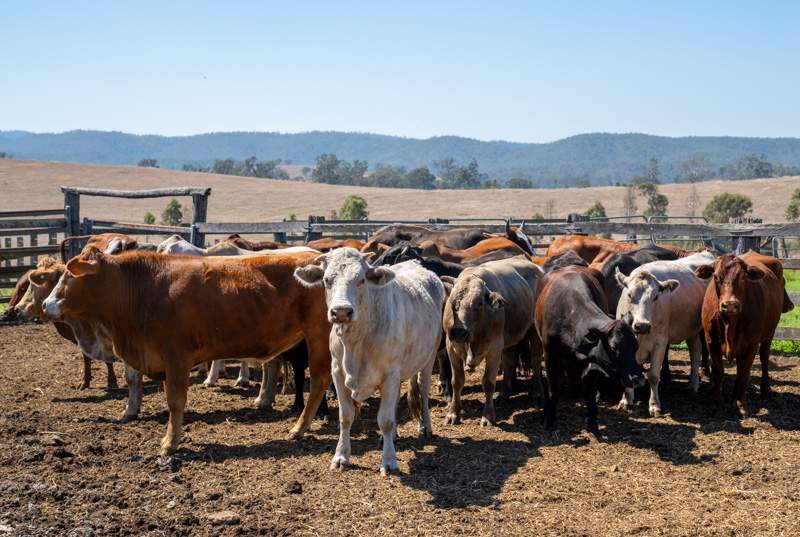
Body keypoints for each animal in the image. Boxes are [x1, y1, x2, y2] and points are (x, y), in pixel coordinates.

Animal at [43, 247, 332, 456]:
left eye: (69, 275)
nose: (46, 304)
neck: (146, 289)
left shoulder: (177, 357)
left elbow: (175, 401)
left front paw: (170, 443)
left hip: (320, 337)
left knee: (319, 381)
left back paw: (299, 428)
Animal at [294, 245, 444, 476]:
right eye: (327, 279)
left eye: (361, 279)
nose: (341, 312)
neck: (356, 343)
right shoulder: (338, 373)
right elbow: (346, 416)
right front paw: (341, 456)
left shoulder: (389, 374)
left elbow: (385, 420)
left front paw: (389, 462)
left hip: (429, 355)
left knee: (423, 389)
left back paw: (425, 426)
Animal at [536, 264, 648, 440]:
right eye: (614, 346)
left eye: (635, 346)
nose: (639, 380)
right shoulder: (550, 359)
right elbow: (554, 392)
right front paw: (550, 424)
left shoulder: (596, 363)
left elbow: (590, 396)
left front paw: (593, 429)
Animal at [616, 251, 716, 414]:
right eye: (629, 295)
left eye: (656, 296)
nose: (642, 326)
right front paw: (626, 400)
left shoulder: (660, 341)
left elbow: (653, 375)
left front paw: (654, 405)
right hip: (691, 331)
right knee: (695, 351)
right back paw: (692, 384)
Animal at [692, 249, 792, 416]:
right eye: (716, 276)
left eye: (743, 277)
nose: (730, 305)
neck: (730, 324)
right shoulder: (711, 342)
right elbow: (719, 372)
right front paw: (717, 405)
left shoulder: (752, 344)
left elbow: (744, 374)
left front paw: (742, 405)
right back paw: (735, 392)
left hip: (769, 334)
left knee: (764, 358)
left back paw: (765, 389)